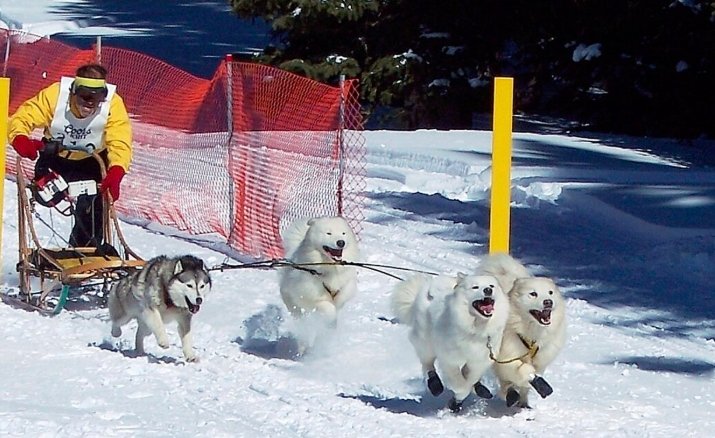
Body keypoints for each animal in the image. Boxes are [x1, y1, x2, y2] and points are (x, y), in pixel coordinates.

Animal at [278, 217, 358, 354]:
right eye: (328, 233)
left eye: (343, 233)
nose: (341, 242)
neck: (330, 268)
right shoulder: (310, 295)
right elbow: (328, 308)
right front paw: (331, 318)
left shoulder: (344, 289)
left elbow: (338, 303)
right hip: (294, 305)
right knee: (302, 323)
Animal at [392, 272, 510, 412]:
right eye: (475, 287)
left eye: (491, 286)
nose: (488, 290)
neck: (476, 329)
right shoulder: (449, 360)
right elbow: (461, 385)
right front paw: (456, 399)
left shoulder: (478, 361)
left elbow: (471, 377)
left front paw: (462, 396)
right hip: (426, 342)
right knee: (427, 364)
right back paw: (435, 385)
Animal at [478, 253, 568, 408]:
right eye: (533, 294)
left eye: (550, 293)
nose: (548, 302)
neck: (531, 335)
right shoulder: (507, 356)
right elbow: (520, 371)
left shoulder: (540, 361)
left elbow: (528, 382)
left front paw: (525, 400)